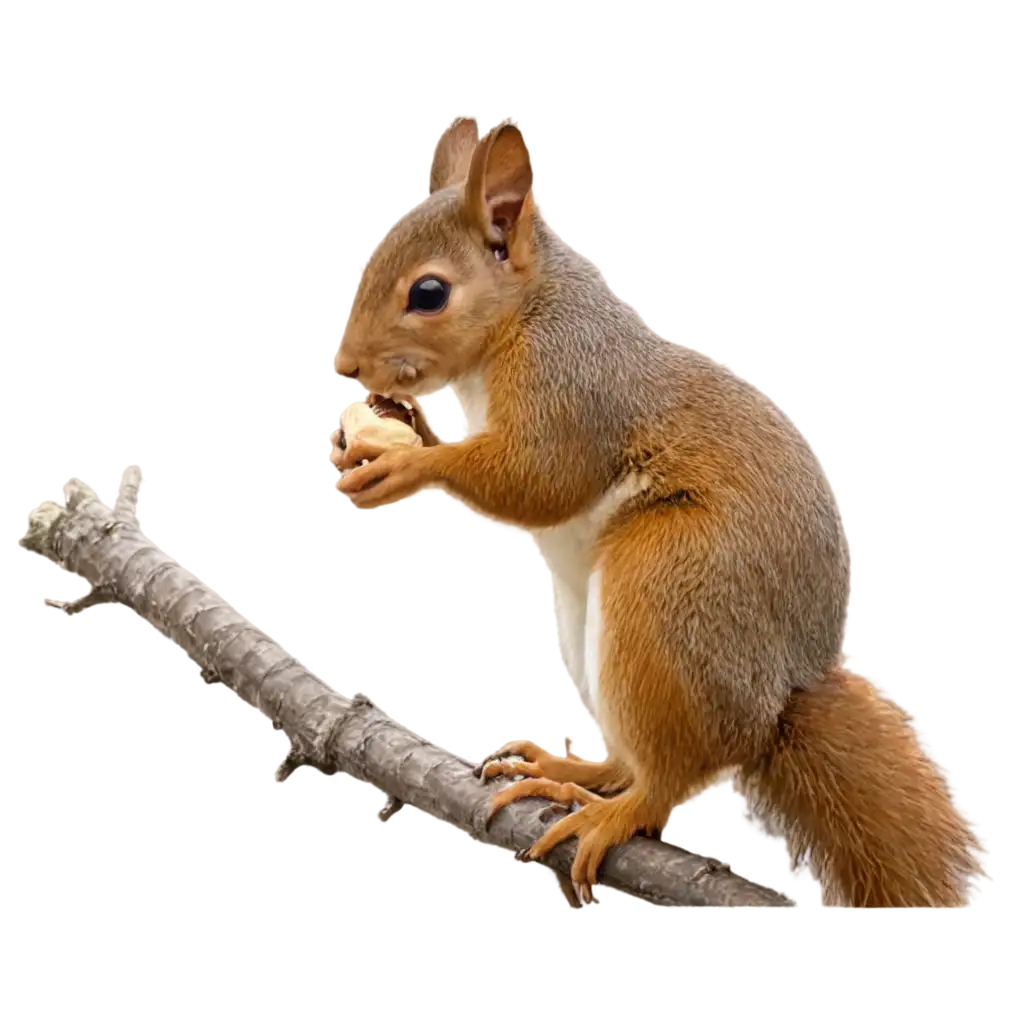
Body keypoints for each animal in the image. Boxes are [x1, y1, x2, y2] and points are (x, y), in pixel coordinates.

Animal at [327, 114, 991, 913]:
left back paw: (610, 813)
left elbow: (538, 480)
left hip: (664, 586)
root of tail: (770, 707)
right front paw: (394, 433)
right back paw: (574, 771)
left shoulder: (574, 387)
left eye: (428, 292)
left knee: (673, 772)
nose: (343, 366)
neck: (522, 315)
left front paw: (407, 464)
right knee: (635, 760)